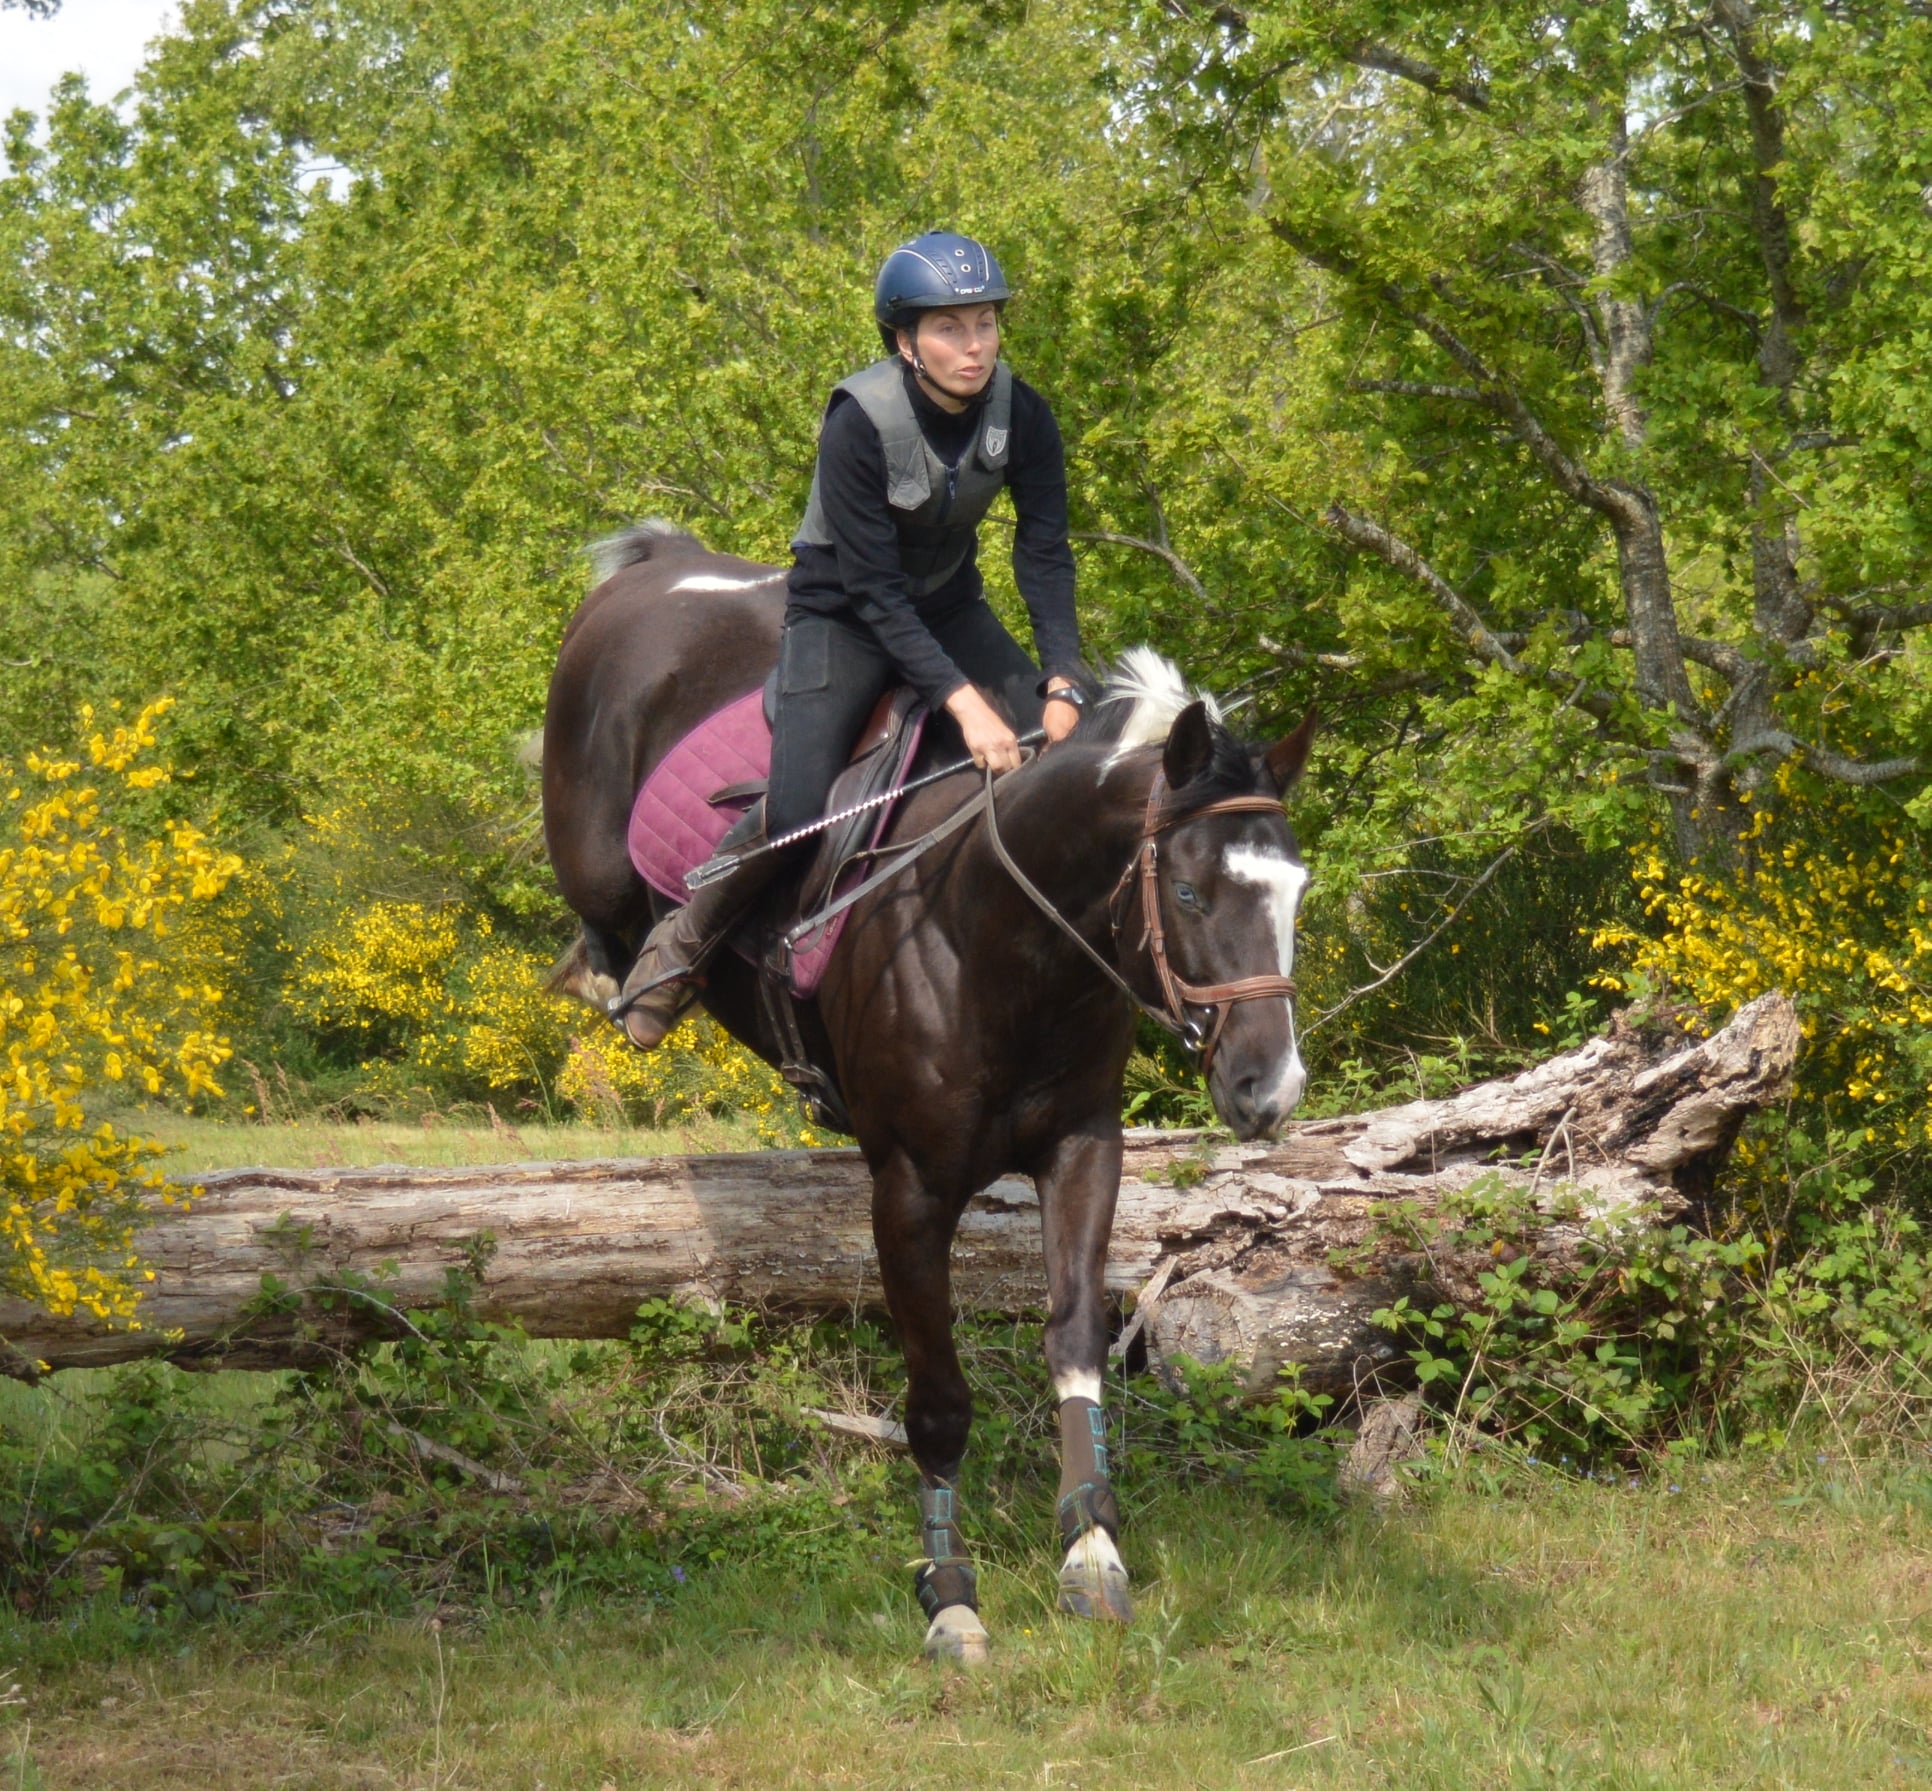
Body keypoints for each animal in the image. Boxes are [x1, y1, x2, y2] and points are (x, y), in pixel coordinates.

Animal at [552, 521, 1321, 1669]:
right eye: (1188, 892)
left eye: (1294, 892)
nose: (1270, 1088)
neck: (1003, 940)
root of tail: (658, 560)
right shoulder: (910, 1187)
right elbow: (939, 1400)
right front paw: (949, 1595)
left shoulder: (1082, 1148)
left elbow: (1075, 1338)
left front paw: (1092, 1550)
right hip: (595, 844)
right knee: (606, 915)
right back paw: (632, 978)